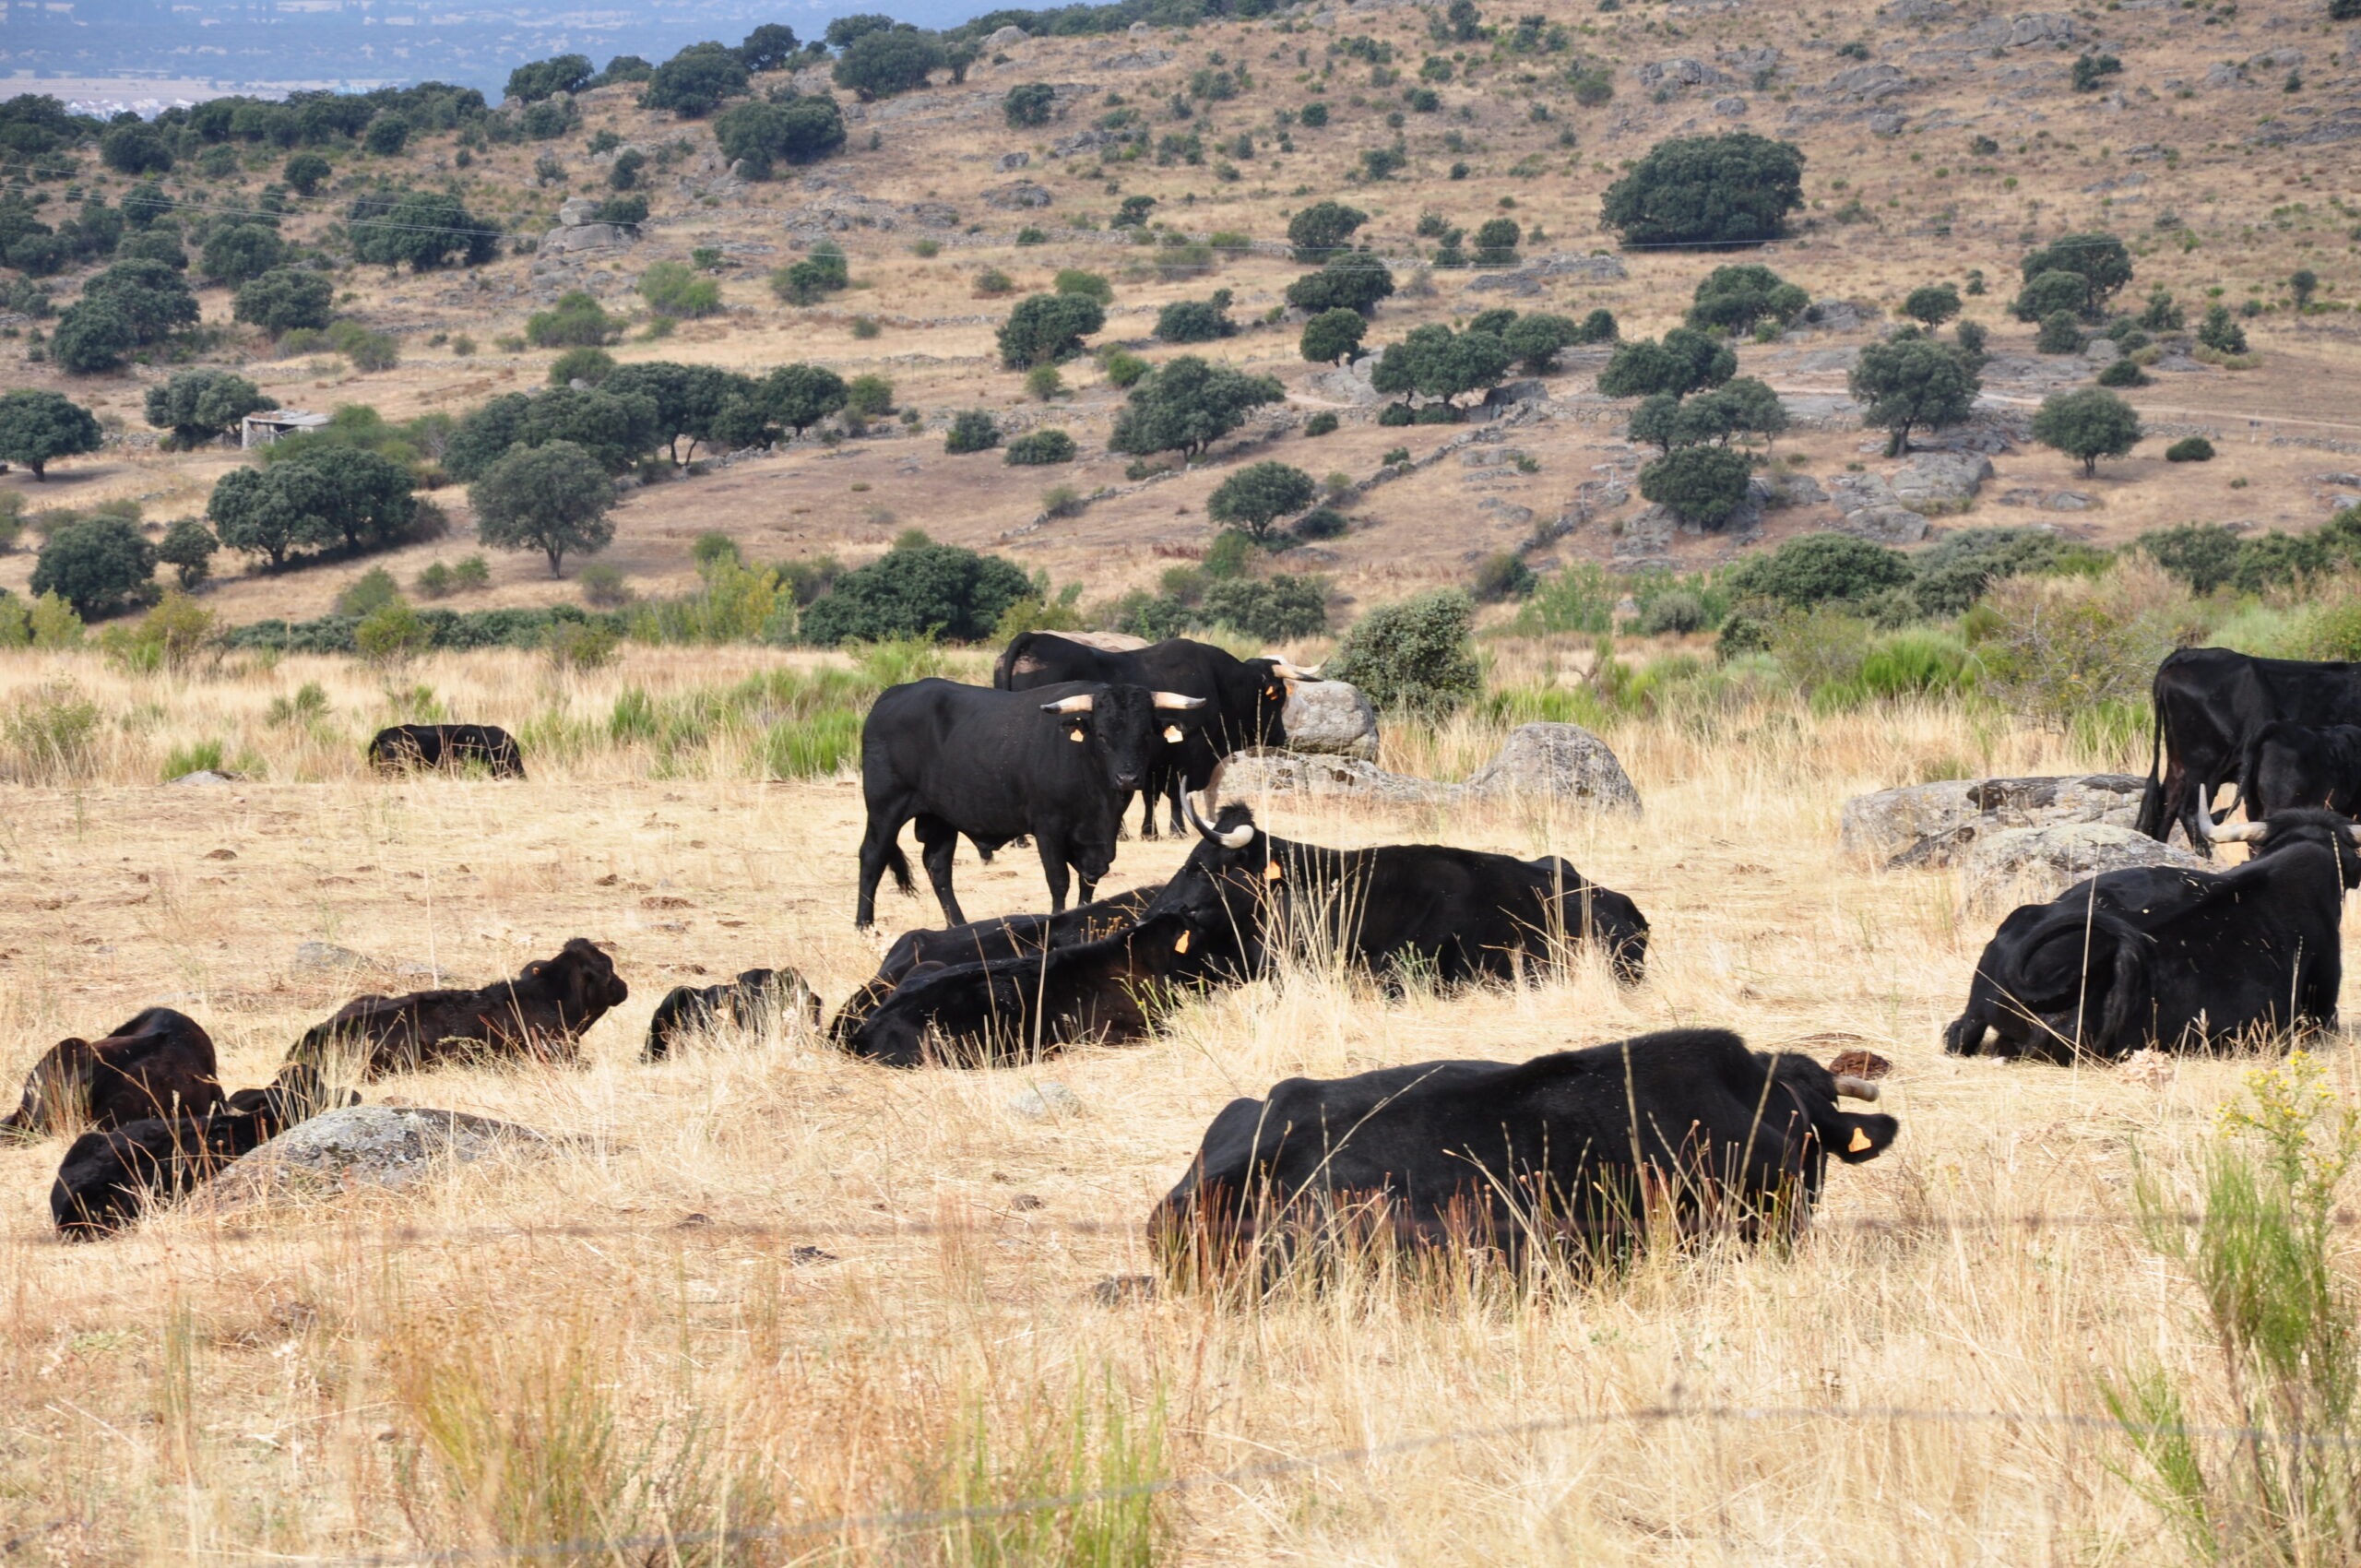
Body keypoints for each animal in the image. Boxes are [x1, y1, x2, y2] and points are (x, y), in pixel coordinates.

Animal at [855, 678, 1207, 929]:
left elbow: (1089, 880)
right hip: (886, 806)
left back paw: (958, 923)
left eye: (1145, 734)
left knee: (938, 866)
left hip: (941, 817)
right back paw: (865, 924)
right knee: (872, 856)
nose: (1128, 778)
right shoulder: (1048, 829)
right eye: (1102, 735)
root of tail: (894, 694)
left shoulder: (1096, 841)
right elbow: (1059, 881)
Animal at [994, 632, 1318, 838]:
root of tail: (1033, 639)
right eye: (1278, 695)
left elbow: (1149, 795)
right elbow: (1175, 793)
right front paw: (1176, 830)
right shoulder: (1184, 753)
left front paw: (1148, 831)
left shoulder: (1151, 759)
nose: (1281, 735)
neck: (1217, 682)